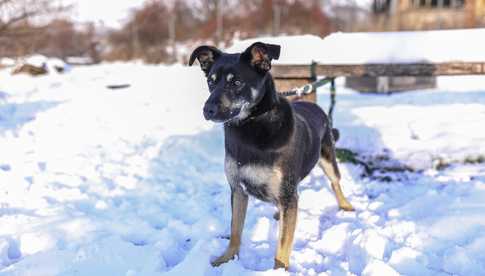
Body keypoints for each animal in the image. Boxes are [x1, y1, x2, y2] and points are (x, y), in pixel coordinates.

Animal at [188, 42, 352, 270]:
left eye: (236, 82)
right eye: (210, 82)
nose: (207, 110)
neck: (251, 125)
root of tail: (314, 105)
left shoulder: (287, 194)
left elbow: (282, 246)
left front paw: (278, 271)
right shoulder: (238, 189)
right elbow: (235, 231)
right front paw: (226, 259)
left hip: (327, 159)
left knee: (335, 182)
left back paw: (345, 206)